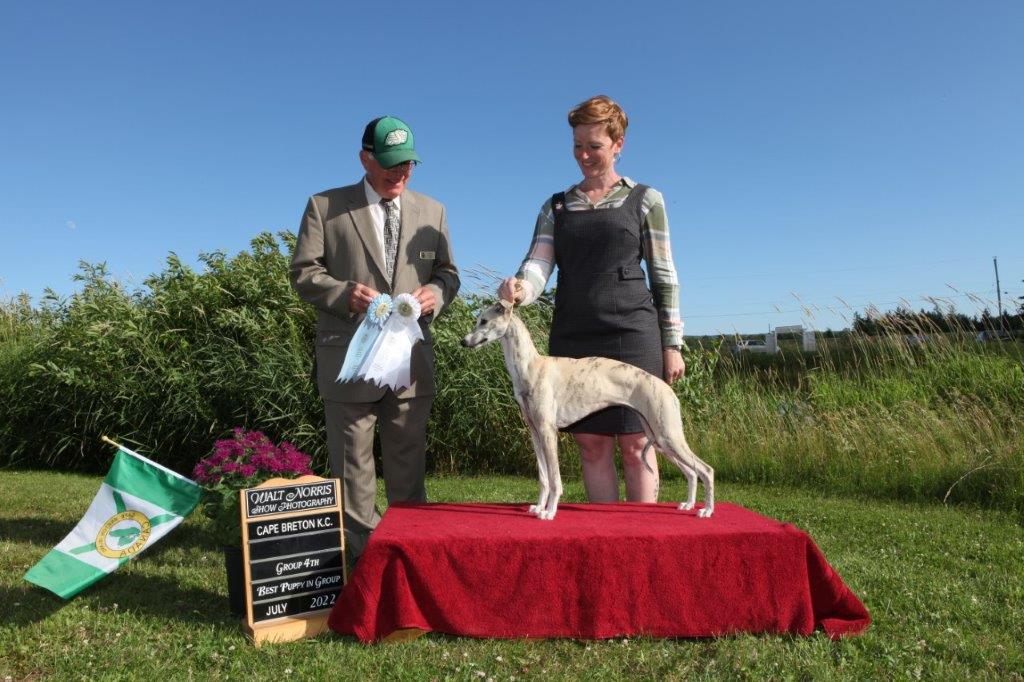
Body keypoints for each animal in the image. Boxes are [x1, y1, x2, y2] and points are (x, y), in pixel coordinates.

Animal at [460, 301, 716, 518]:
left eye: (484, 321)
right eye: (477, 320)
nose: (463, 342)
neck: (531, 366)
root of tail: (668, 388)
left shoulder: (548, 431)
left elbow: (554, 478)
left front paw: (550, 511)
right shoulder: (534, 432)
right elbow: (543, 477)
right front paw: (538, 507)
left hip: (668, 434)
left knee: (706, 470)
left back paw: (706, 510)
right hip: (660, 438)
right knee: (692, 472)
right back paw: (689, 504)